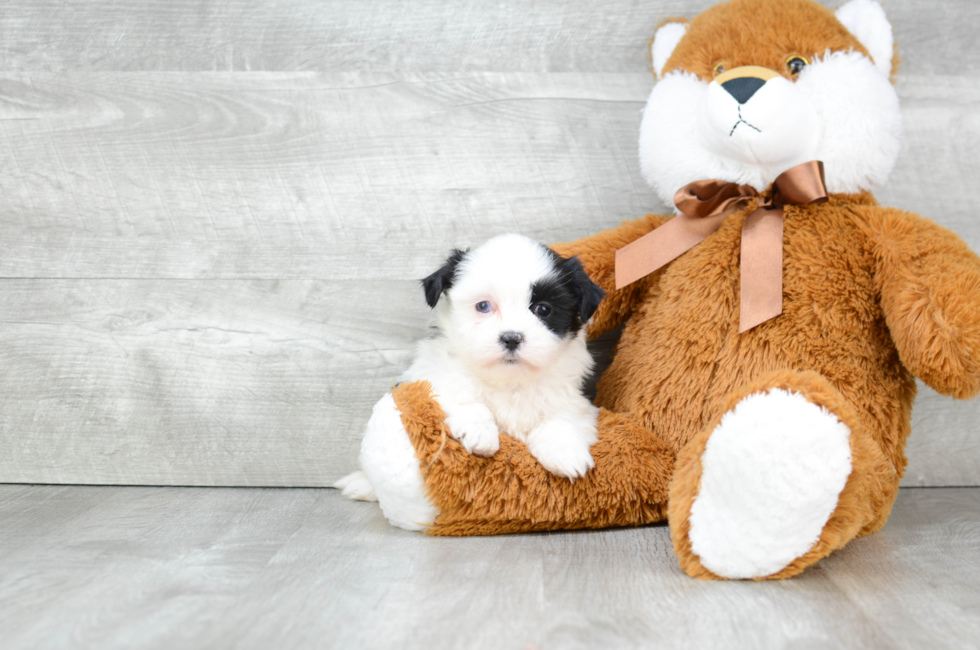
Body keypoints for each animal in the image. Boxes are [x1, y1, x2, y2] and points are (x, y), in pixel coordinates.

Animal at [340, 233, 608, 502]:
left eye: (543, 309)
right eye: (483, 306)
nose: (511, 337)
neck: (508, 380)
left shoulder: (574, 400)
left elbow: (561, 419)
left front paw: (566, 452)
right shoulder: (432, 377)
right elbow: (465, 400)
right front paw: (480, 433)